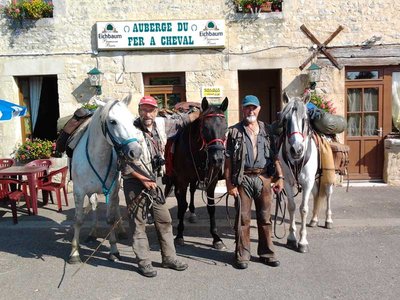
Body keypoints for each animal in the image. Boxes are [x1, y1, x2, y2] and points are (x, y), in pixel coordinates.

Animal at [68, 96, 143, 262]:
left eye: (133, 121)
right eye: (112, 121)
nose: (135, 152)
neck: (97, 156)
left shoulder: (112, 189)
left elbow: (110, 218)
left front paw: (114, 250)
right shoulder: (79, 191)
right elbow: (78, 219)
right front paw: (74, 252)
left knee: (115, 206)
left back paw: (121, 230)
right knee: (94, 205)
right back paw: (92, 233)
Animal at [166, 97, 228, 250]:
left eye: (225, 128)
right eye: (205, 128)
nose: (218, 159)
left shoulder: (211, 181)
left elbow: (211, 207)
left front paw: (216, 238)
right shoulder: (182, 180)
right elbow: (182, 204)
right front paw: (180, 235)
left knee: (193, 190)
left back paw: (193, 213)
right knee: (180, 197)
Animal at [278, 93, 334, 253]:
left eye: (305, 119)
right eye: (285, 119)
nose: (296, 150)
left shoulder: (307, 182)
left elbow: (303, 209)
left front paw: (302, 242)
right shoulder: (287, 182)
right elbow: (291, 206)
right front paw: (291, 238)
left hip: (327, 177)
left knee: (328, 194)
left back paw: (328, 220)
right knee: (316, 194)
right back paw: (314, 220)